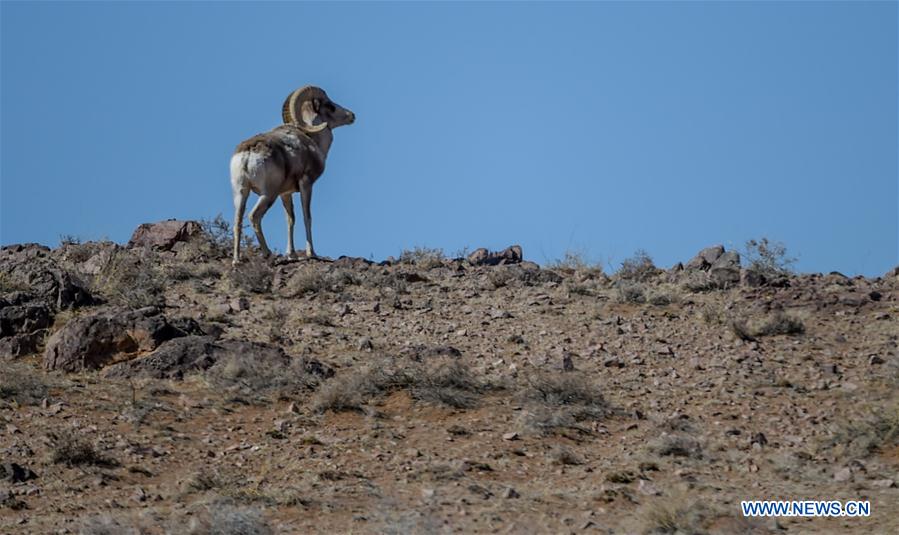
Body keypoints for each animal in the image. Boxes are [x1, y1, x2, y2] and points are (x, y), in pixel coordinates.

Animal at [229, 85, 356, 264]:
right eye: (330, 106)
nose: (351, 116)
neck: (313, 141)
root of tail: (248, 153)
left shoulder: (286, 194)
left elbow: (290, 220)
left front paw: (292, 254)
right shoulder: (306, 184)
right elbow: (306, 217)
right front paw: (311, 253)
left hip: (241, 193)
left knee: (237, 221)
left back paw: (237, 260)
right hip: (268, 194)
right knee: (254, 216)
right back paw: (268, 254)